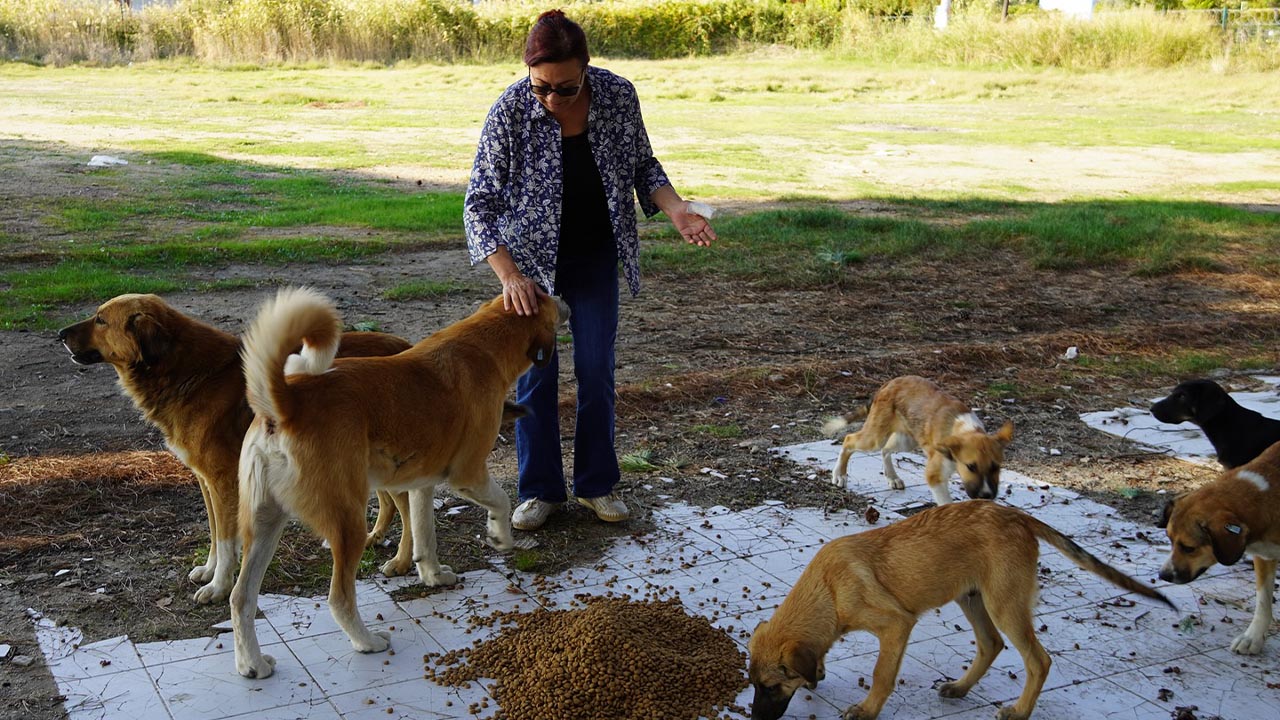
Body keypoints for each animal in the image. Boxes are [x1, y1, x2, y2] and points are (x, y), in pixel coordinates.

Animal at [58, 292, 409, 599]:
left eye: (101, 320)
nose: (59, 334)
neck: (191, 374)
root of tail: (405, 347)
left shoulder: (224, 481)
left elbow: (226, 538)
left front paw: (218, 586)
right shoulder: (206, 481)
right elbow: (216, 533)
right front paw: (209, 570)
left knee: (404, 505)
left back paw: (403, 560)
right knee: (389, 502)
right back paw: (373, 537)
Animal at [231, 285, 570, 676]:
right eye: (544, 293)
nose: (565, 300)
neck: (486, 343)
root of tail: (288, 403)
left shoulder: (421, 483)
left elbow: (424, 536)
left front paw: (433, 576)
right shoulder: (467, 474)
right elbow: (500, 499)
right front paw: (500, 536)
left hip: (264, 525)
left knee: (241, 598)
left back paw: (252, 664)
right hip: (348, 522)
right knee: (339, 598)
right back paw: (367, 642)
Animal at [747, 499, 1172, 717]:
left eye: (771, 687)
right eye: (754, 686)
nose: (754, 719)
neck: (829, 590)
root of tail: (1019, 515)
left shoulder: (896, 626)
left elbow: (882, 675)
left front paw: (867, 710)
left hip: (1004, 604)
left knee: (1038, 660)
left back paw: (1019, 711)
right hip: (972, 598)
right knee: (991, 644)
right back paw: (962, 688)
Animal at [824, 376, 1013, 504]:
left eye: (996, 467)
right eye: (971, 467)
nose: (987, 496)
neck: (964, 429)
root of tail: (889, 383)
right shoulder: (934, 475)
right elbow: (946, 503)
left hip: (907, 440)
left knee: (885, 450)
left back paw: (892, 477)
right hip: (875, 438)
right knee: (849, 440)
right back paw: (839, 475)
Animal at [1162, 440, 1280, 653]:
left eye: (1189, 548)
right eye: (1169, 540)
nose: (1163, 575)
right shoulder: (1264, 556)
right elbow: (1263, 602)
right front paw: (1253, 637)